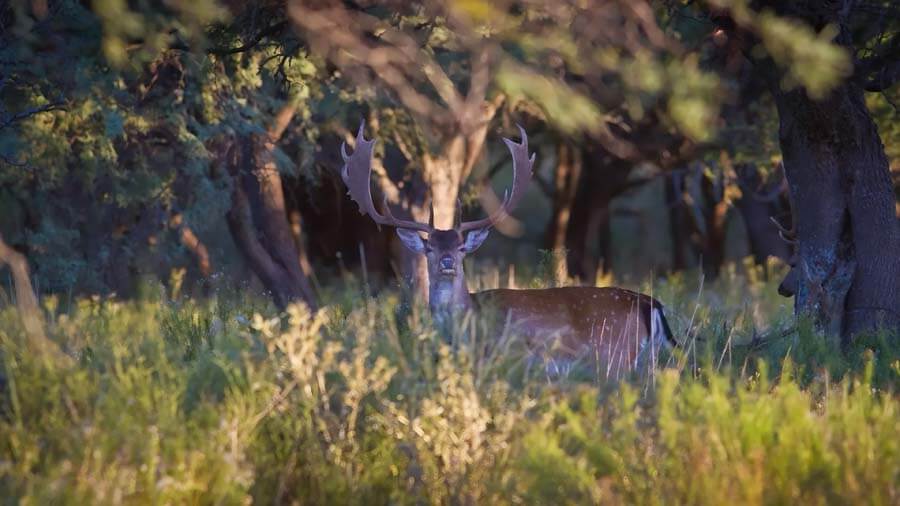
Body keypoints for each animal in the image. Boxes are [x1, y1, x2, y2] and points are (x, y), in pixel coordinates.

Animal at [340, 124, 676, 379]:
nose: (448, 262)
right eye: (430, 247)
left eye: (461, 248)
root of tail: (650, 303)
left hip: (615, 357)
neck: (466, 327)